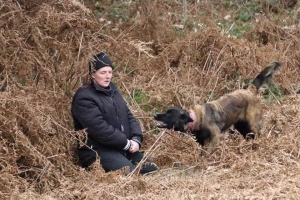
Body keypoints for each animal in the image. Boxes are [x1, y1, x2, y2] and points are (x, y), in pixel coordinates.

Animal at [154, 61, 282, 149]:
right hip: (242, 126)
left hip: (252, 125)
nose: (155, 115)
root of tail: (250, 89)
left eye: (169, 114)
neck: (196, 119)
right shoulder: (202, 141)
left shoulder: (215, 137)